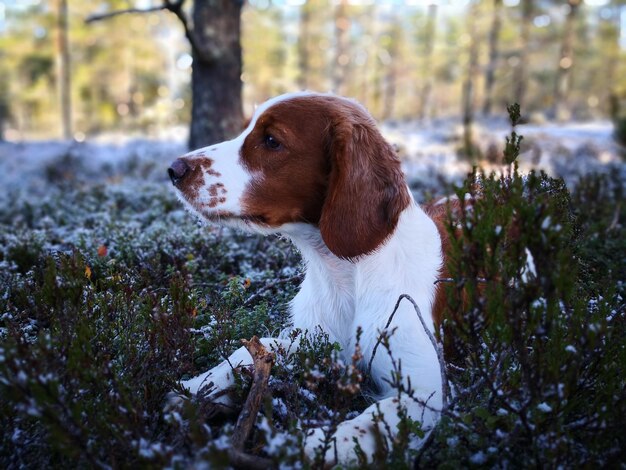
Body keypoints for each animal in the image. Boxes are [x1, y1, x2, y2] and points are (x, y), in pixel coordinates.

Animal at [168, 92, 446, 462]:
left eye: (272, 141)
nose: (174, 169)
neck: (344, 274)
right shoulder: (316, 341)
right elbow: (257, 347)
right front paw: (196, 385)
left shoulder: (427, 391)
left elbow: (374, 420)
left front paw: (318, 444)